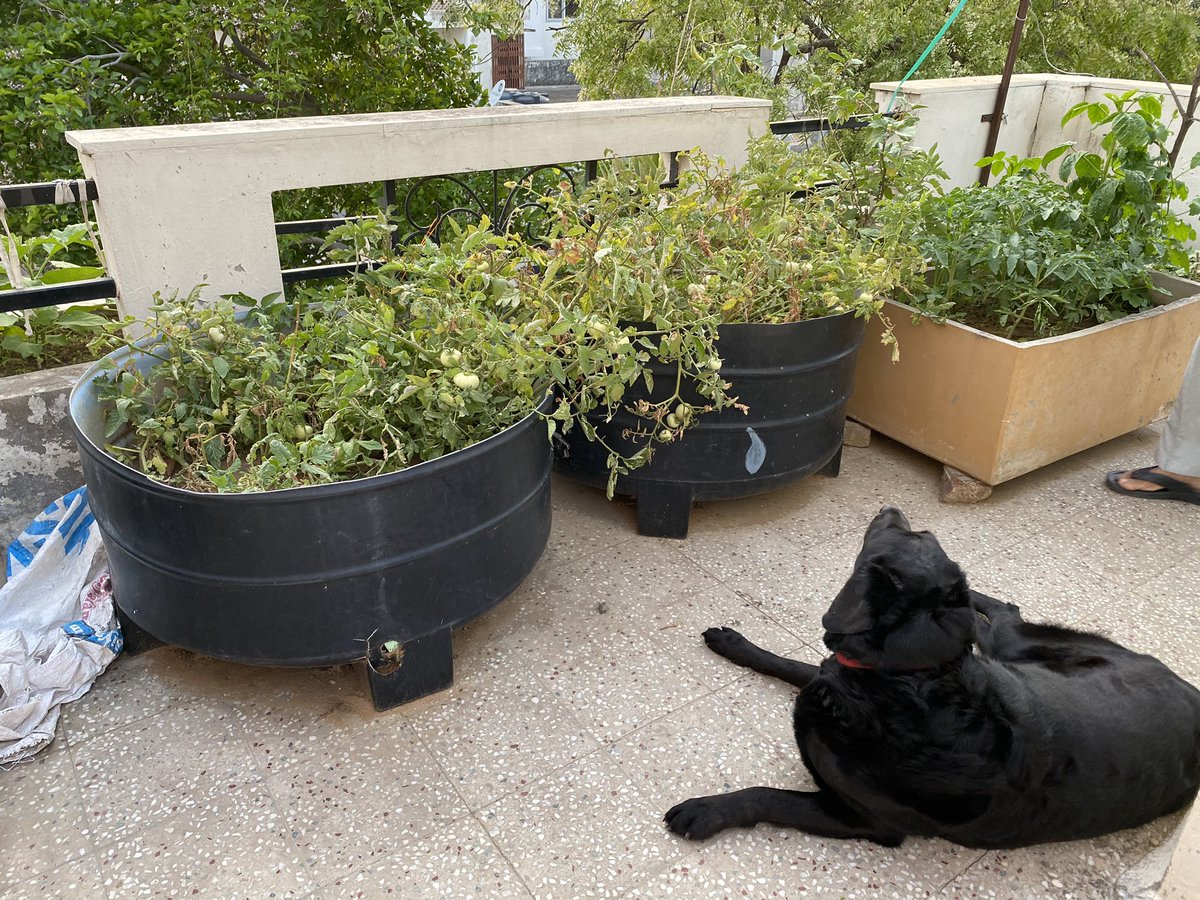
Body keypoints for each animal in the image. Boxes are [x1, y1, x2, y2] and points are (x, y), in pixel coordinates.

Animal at [667, 508, 1200, 854]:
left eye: (915, 532)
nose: (891, 507)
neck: (906, 684)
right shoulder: (835, 673)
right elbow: (791, 664)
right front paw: (736, 645)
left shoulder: (860, 819)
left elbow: (768, 796)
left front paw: (707, 811)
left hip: (1016, 645)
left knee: (1007, 615)